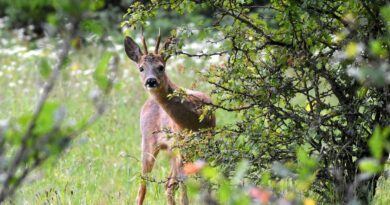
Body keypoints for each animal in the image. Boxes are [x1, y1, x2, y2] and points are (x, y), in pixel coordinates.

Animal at [124, 30, 216, 205]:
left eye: (161, 67)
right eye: (141, 68)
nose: (151, 81)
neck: (194, 120)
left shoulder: (207, 142)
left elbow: (205, 184)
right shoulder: (182, 146)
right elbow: (184, 189)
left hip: (173, 150)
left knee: (168, 185)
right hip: (149, 142)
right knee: (144, 186)